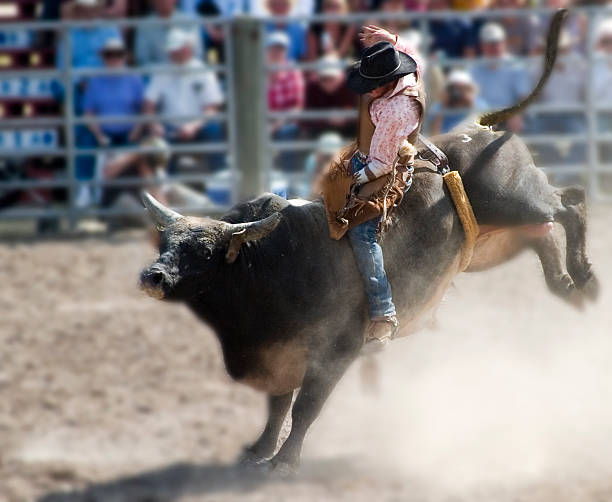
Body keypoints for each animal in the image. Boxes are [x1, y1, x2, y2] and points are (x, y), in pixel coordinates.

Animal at [139, 8, 596, 474]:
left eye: (202, 251)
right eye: (164, 244)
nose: (152, 277)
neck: (265, 266)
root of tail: (480, 127)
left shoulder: (334, 353)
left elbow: (305, 407)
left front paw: (286, 460)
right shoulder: (280, 354)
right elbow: (278, 406)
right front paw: (259, 449)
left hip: (519, 200)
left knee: (570, 204)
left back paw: (585, 278)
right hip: (495, 239)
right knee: (545, 236)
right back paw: (567, 287)